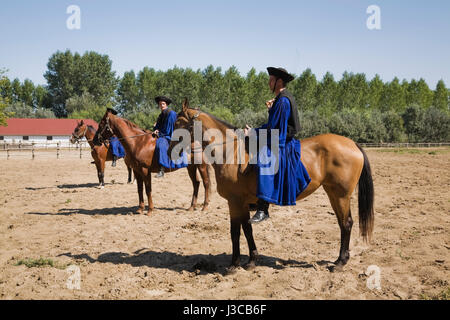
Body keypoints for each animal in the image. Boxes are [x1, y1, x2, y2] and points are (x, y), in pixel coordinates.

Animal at [171, 99, 374, 272]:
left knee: (346, 223)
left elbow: (235, 232)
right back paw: (339, 259)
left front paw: (234, 264)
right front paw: (252, 260)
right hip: (333, 194)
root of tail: (352, 144)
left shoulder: (234, 202)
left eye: (178, 122)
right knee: (342, 223)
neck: (230, 152)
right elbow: (247, 230)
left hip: (341, 195)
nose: (170, 149)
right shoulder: (242, 203)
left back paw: (340, 263)